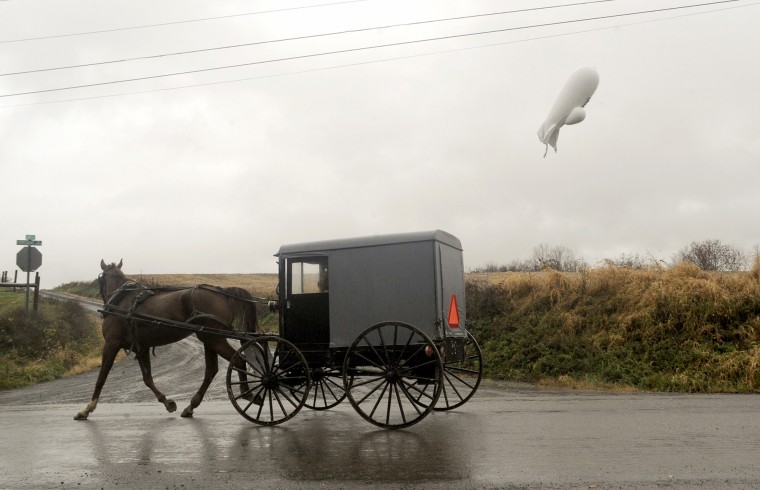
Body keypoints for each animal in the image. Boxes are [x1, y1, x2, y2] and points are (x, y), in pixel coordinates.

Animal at [75, 260, 258, 422]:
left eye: (100, 278)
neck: (122, 302)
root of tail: (221, 291)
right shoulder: (141, 348)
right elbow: (147, 378)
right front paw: (167, 402)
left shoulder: (111, 344)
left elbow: (101, 377)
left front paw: (87, 409)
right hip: (209, 338)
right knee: (211, 370)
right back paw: (191, 406)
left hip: (214, 338)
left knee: (238, 360)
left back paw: (247, 393)